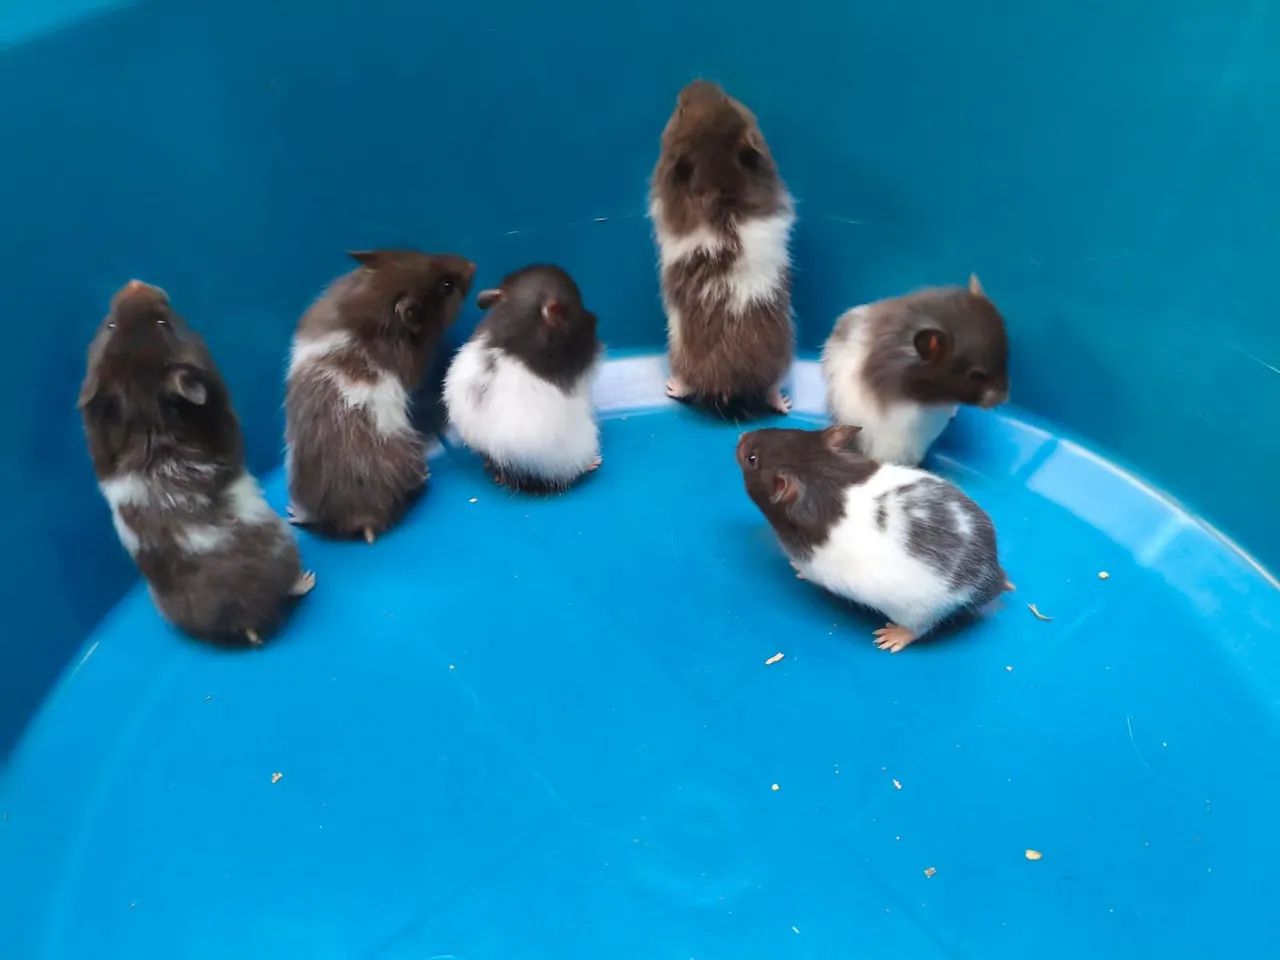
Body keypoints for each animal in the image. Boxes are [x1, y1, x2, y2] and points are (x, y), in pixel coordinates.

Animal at [79, 280, 313, 646]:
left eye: (110, 325)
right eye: (165, 323)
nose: (135, 283)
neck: (145, 412)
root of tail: (245, 619)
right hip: (285, 548)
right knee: (289, 588)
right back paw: (307, 578)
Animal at [286, 250, 475, 542]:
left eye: (418, 254)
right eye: (447, 286)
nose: (472, 265)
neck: (373, 305)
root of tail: (362, 515)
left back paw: (292, 514)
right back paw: (426, 474)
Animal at [650, 79, 795, 415]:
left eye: (680, 109)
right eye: (727, 97)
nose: (697, 82)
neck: (717, 166)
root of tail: (734, 380)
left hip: (680, 350)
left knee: (689, 384)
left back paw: (672, 387)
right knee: (771, 388)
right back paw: (785, 404)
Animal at [736, 425, 1008, 653]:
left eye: (752, 459)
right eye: (790, 431)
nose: (741, 436)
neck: (818, 474)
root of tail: (989, 577)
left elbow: (804, 570)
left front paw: (796, 569)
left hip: (920, 611)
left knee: (920, 628)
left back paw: (890, 638)